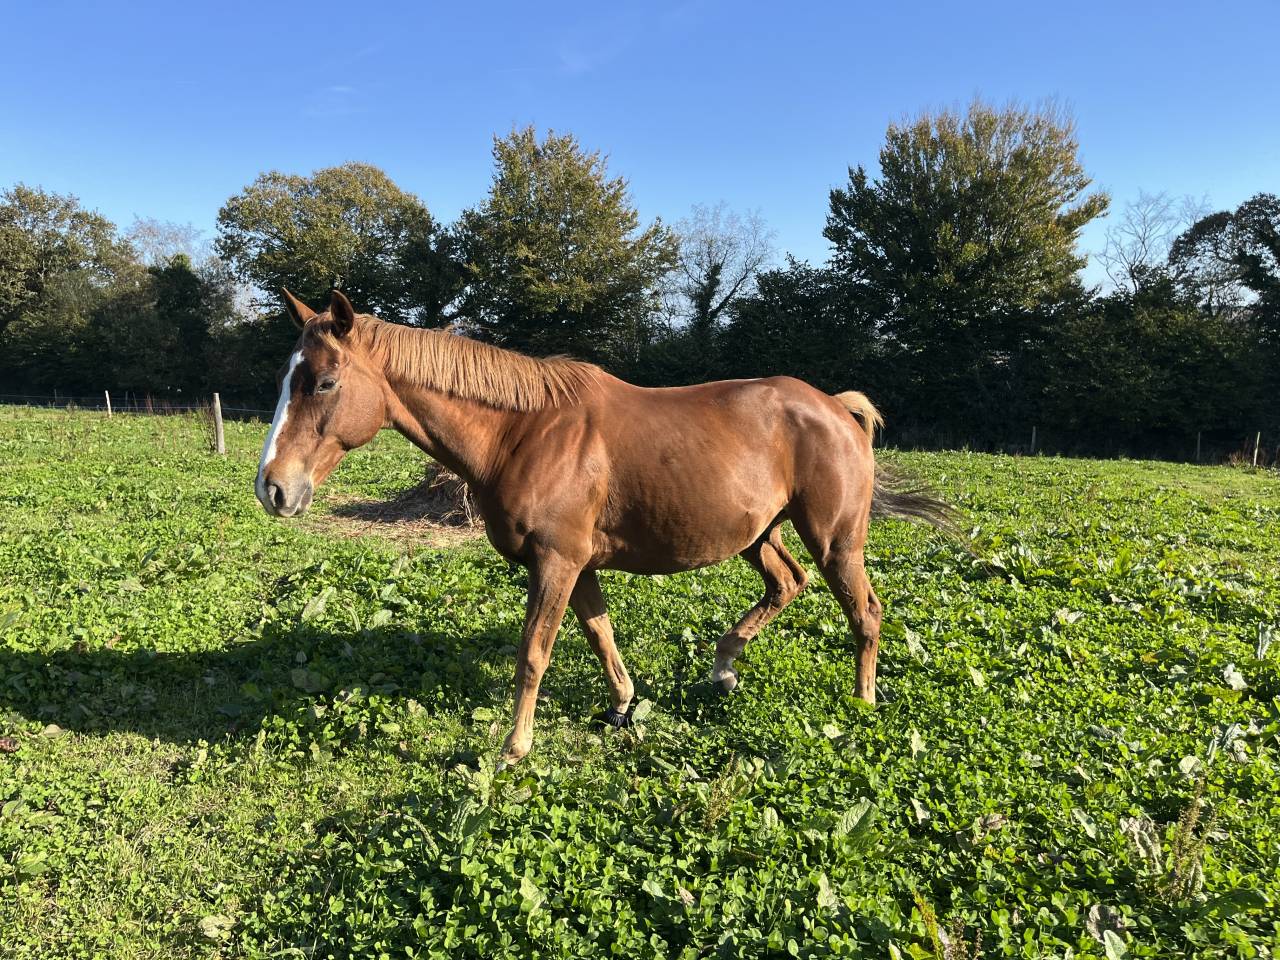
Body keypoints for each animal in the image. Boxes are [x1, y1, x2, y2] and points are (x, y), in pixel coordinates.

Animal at [255, 289, 949, 765]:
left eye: (324, 381)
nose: (273, 488)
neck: (523, 432)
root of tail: (836, 407)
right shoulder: (578, 563)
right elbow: (599, 634)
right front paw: (621, 706)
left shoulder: (556, 562)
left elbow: (533, 653)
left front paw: (514, 747)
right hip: (760, 535)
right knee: (787, 585)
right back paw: (724, 666)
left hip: (836, 541)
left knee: (865, 612)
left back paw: (863, 702)